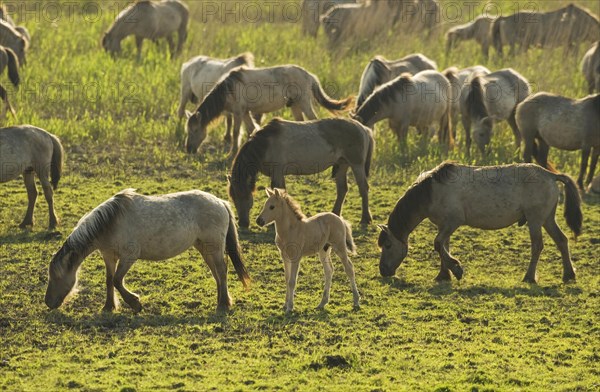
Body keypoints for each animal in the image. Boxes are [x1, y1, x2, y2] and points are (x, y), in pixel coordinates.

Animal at [44, 188, 250, 314]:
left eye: (56, 276)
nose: (48, 302)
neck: (111, 221)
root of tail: (221, 202)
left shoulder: (129, 256)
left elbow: (118, 280)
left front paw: (135, 303)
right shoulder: (109, 256)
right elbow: (110, 280)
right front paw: (109, 307)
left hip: (214, 246)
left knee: (222, 271)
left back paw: (223, 305)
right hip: (205, 248)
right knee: (217, 273)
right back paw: (222, 301)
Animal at [185, 66, 354, 156]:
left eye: (194, 130)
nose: (188, 149)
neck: (229, 88)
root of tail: (310, 76)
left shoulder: (238, 112)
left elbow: (235, 132)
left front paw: (231, 154)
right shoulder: (245, 112)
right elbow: (251, 130)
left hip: (304, 103)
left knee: (314, 119)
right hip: (295, 106)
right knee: (300, 123)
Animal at [229, 118, 372, 228]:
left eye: (247, 197)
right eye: (234, 198)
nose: (242, 224)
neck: (266, 144)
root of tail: (363, 128)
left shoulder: (278, 172)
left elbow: (279, 192)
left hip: (356, 164)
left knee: (363, 188)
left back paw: (365, 219)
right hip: (342, 165)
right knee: (342, 189)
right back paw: (335, 214)